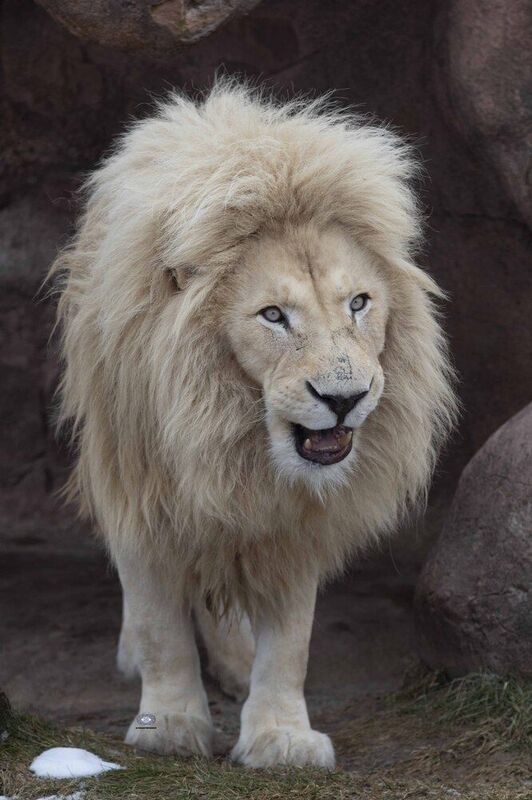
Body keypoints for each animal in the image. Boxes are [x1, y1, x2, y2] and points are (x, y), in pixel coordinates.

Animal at [51, 82, 456, 769]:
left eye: (359, 303)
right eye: (273, 315)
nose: (344, 397)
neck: (228, 434)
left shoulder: (293, 519)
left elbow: (290, 640)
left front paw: (280, 738)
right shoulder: (142, 486)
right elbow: (161, 623)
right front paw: (171, 726)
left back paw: (237, 662)